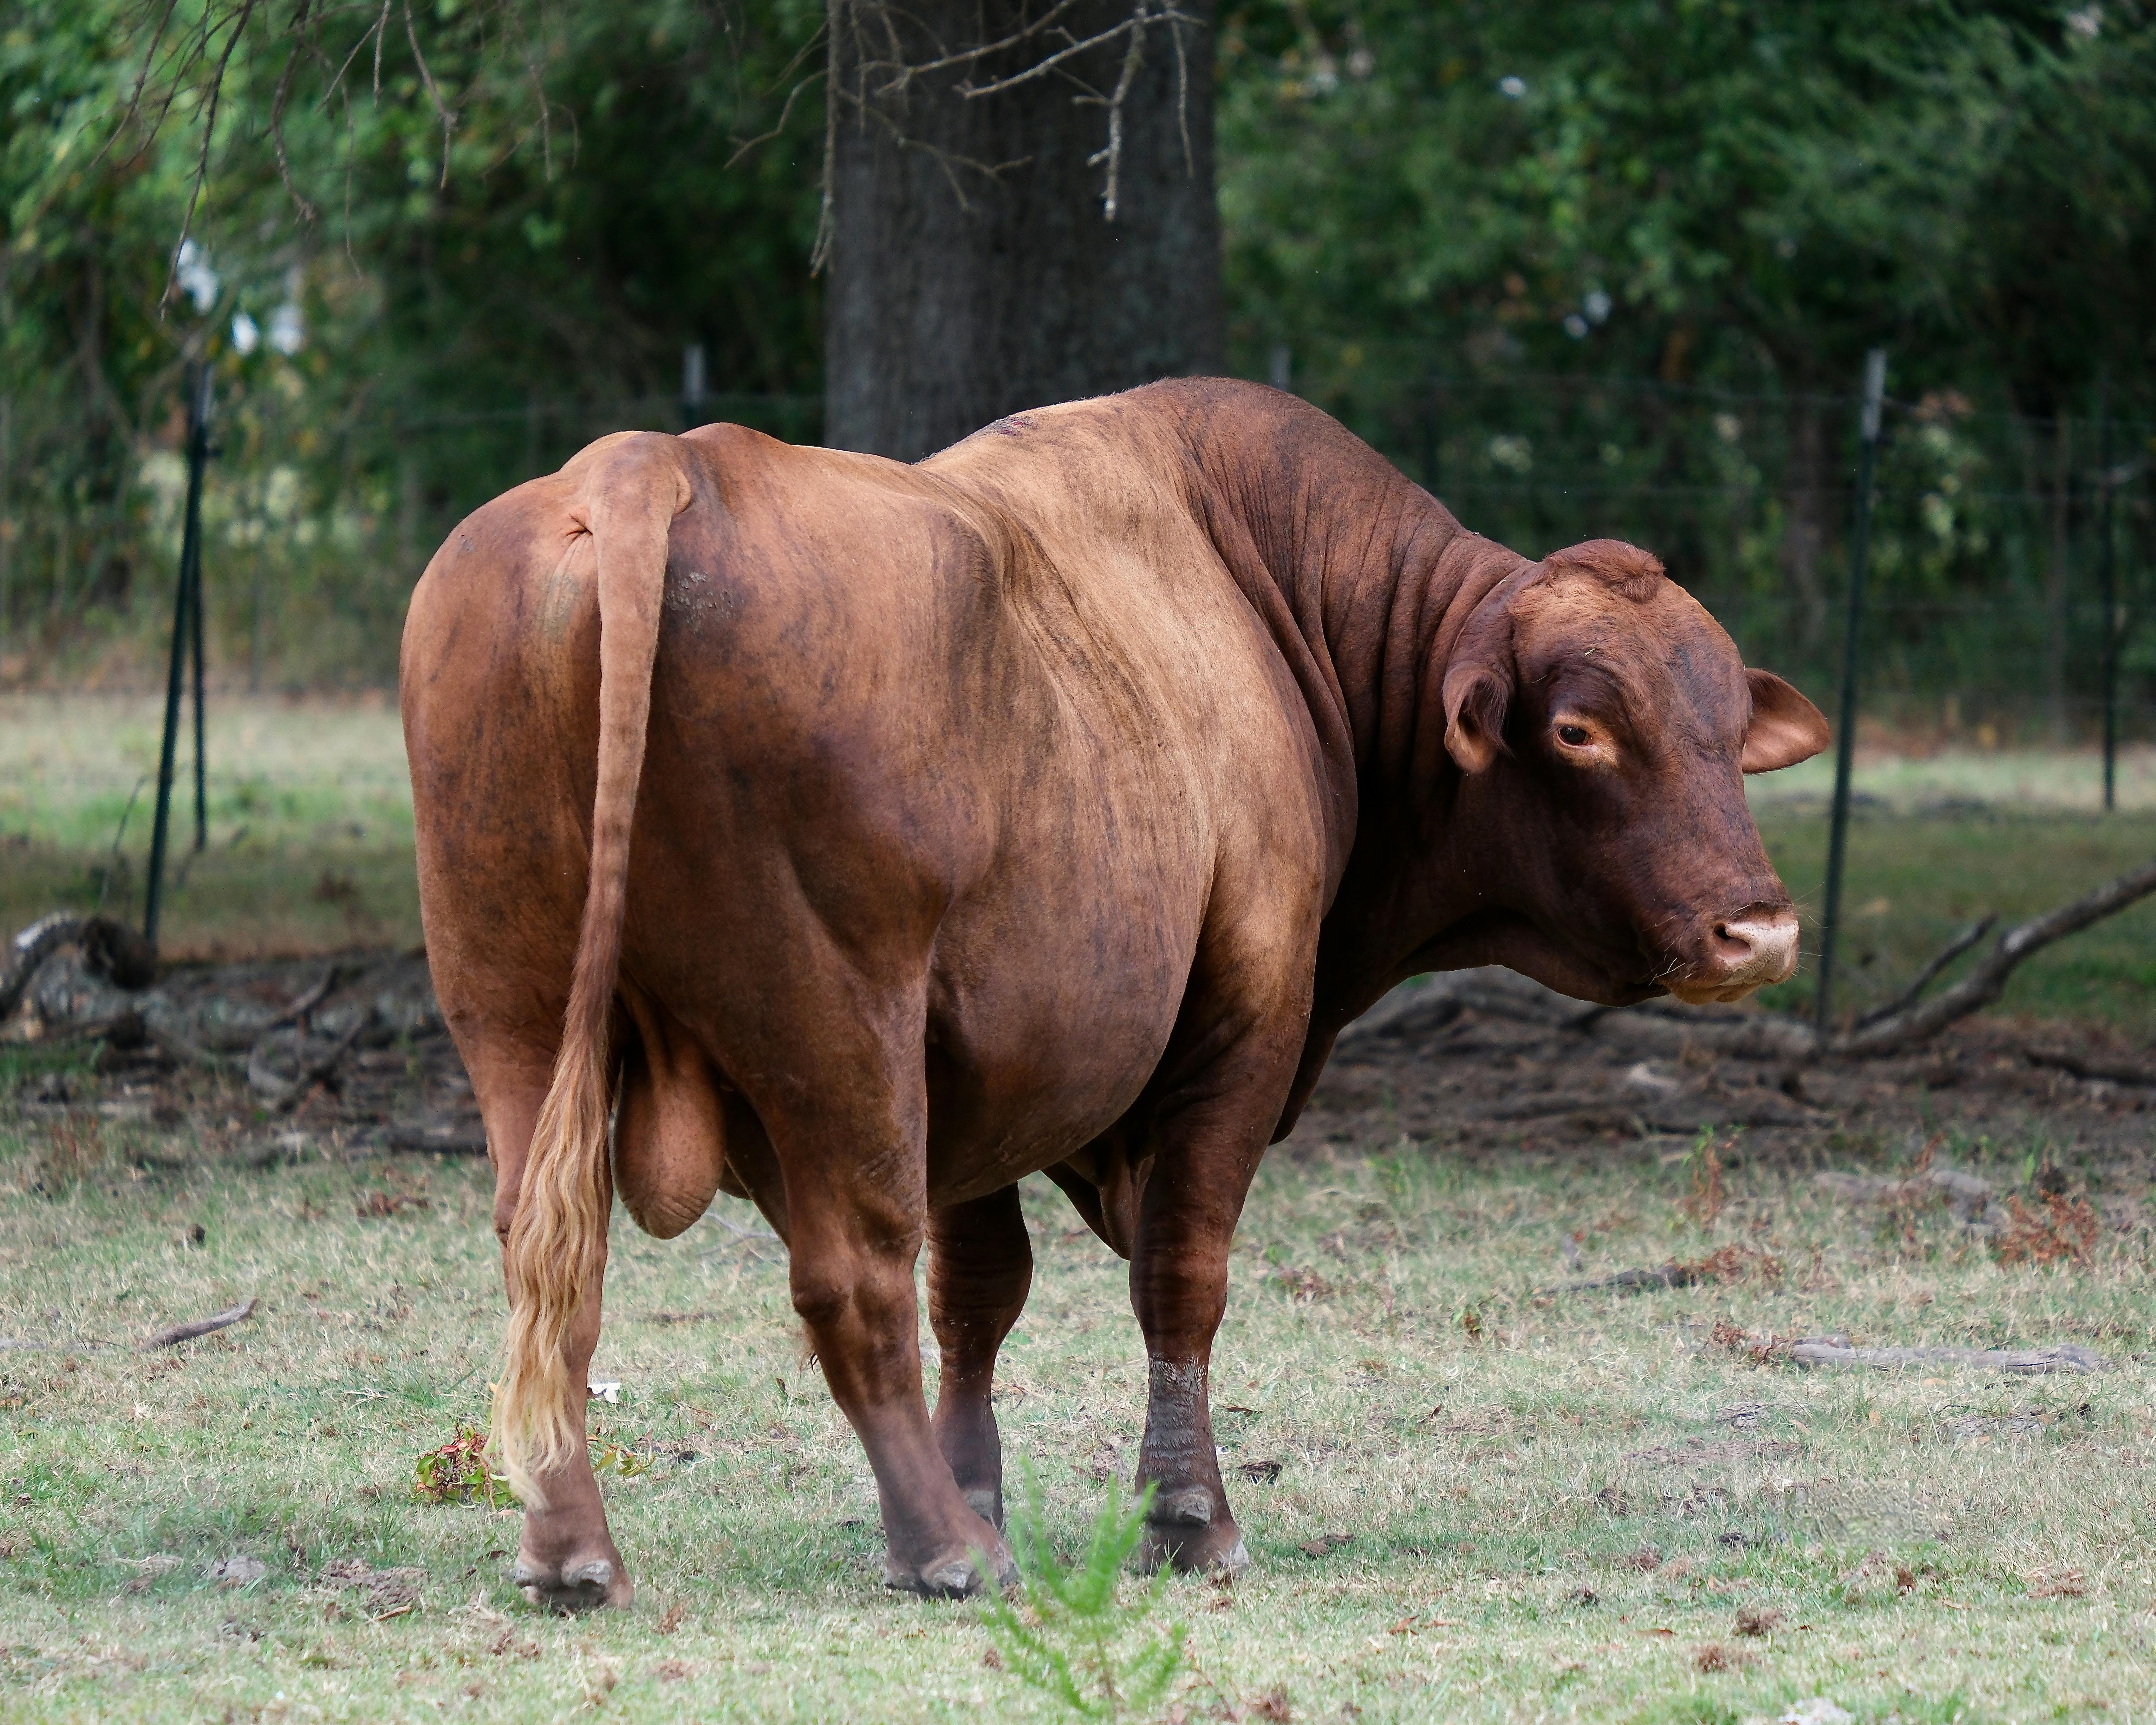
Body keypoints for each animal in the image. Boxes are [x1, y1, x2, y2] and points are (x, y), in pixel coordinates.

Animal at [399, 378, 1828, 1612]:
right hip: (838, 1032)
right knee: (849, 1276)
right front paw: (1186, 1518)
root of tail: (649, 463)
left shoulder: (974, 1067)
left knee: (552, 1259)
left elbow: (977, 1290)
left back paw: (576, 1550)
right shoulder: (1240, 1027)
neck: (1274, 604)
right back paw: (939, 1549)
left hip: (516, 1018)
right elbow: (1176, 1277)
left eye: (1721, 721)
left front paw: (984, 1484)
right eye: (1579, 729)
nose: (1753, 928)